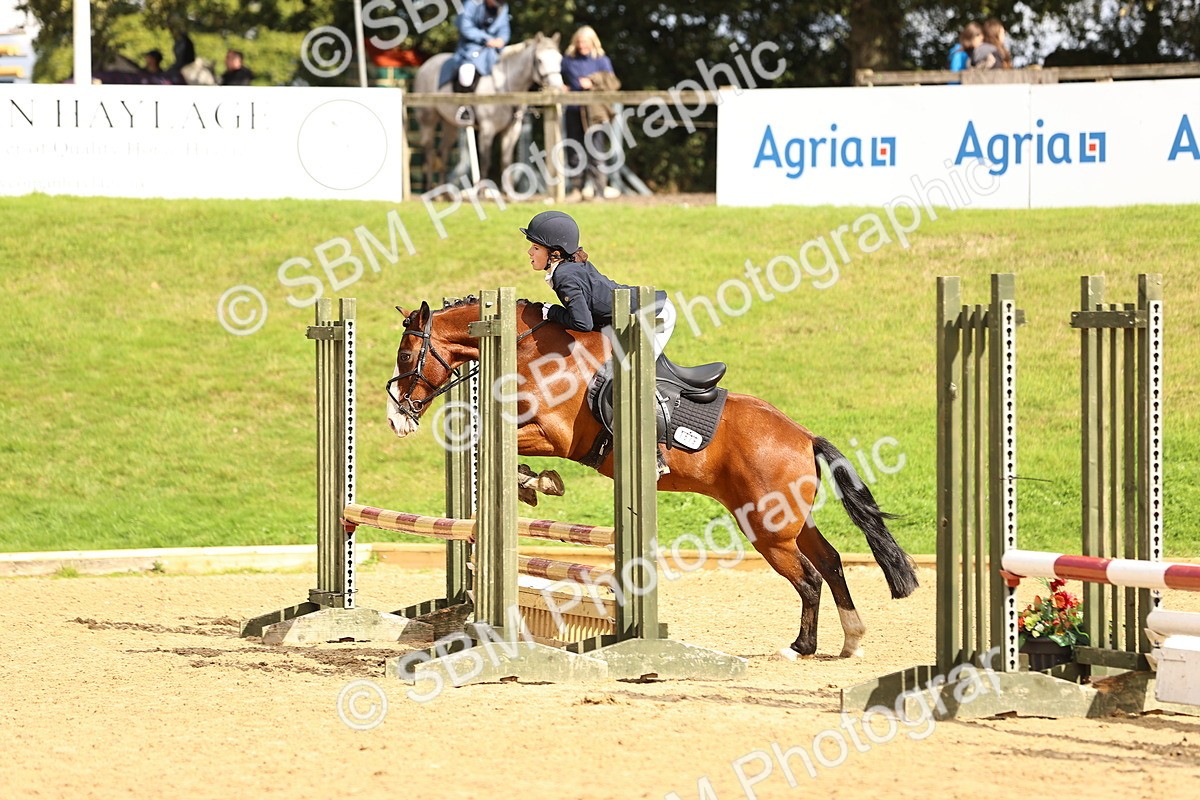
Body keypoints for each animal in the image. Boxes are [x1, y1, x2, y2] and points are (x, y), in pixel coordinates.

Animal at [385, 298, 919, 659]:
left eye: (406, 358)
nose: (397, 420)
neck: (535, 350)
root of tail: (804, 436)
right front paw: (528, 482)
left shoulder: (556, 434)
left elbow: (498, 441)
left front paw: (534, 482)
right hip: (790, 520)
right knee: (830, 562)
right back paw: (851, 639)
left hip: (767, 529)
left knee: (809, 578)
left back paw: (800, 646)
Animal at [411, 34, 564, 193]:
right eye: (539, 60)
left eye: (559, 59)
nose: (557, 86)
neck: (506, 86)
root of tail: (426, 65)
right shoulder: (487, 129)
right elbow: (485, 161)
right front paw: (482, 192)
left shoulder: (512, 130)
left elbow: (506, 161)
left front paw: (508, 192)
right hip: (428, 120)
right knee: (428, 152)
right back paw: (429, 188)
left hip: (449, 124)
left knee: (443, 152)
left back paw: (444, 192)